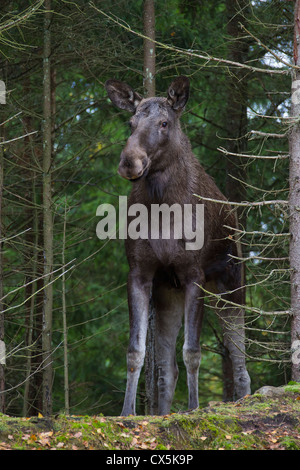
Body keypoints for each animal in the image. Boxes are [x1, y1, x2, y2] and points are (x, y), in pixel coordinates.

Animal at [105, 76, 251, 414]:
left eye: (164, 123)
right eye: (130, 122)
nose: (129, 162)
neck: (163, 207)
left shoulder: (193, 273)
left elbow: (193, 352)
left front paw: (195, 407)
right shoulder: (141, 273)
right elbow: (135, 352)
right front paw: (127, 412)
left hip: (232, 283)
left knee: (240, 359)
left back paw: (242, 399)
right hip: (168, 292)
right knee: (166, 369)